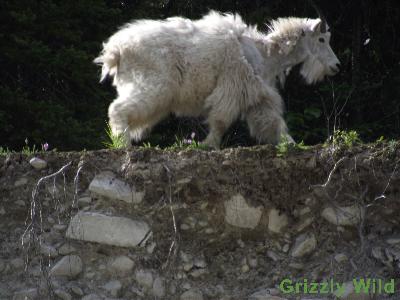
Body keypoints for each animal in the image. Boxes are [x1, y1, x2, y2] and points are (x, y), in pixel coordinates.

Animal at [94, 10, 340, 149]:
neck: (265, 54)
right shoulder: (234, 86)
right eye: (322, 39)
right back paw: (123, 144)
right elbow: (221, 120)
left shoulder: (258, 95)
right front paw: (208, 145)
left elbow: (274, 122)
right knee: (117, 108)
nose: (336, 66)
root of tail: (117, 51)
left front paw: (292, 144)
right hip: (151, 85)